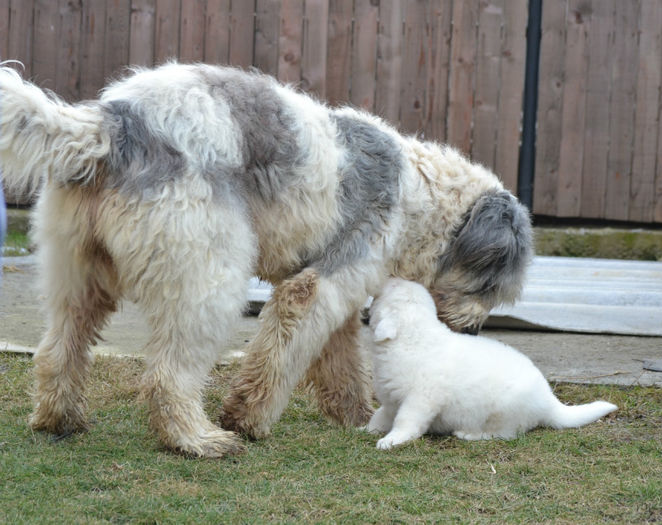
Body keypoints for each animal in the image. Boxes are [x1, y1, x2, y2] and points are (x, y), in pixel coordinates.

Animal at [0, 60, 532, 454]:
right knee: (167, 376)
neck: (420, 193)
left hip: (77, 275)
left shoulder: (336, 293)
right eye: (489, 287)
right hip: (207, 280)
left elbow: (340, 361)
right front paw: (248, 418)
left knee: (58, 350)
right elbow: (279, 356)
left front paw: (356, 416)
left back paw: (59, 420)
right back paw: (199, 440)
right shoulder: (317, 287)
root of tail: (111, 122)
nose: (473, 332)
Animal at [366, 280, 620, 448]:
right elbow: (381, 416)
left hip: (504, 414)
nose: (391, 278)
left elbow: (405, 421)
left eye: (390, 291)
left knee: (504, 435)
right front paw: (367, 429)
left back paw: (469, 435)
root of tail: (550, 403)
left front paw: (391, 440)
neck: (411, 338)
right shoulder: (391, 401)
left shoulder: (420, 400)